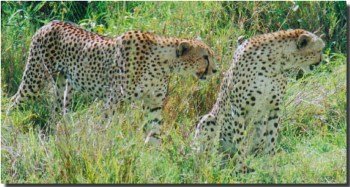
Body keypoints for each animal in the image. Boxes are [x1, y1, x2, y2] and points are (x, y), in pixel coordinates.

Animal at [8, 20, 217, 143]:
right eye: (205, 57)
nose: (215, 70)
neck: (163, 62)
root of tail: (49, 23)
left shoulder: (154, 103)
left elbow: (154, 130)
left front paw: (155, 157)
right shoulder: (115, 99)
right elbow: (105, 126)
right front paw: (102, 148)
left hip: (63, 85)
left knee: (58, 109)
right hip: (34, 78)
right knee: (13, 101)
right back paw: (9, 128)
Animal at [193, 29, 324, 174]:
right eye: (319, 50)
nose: (321, 60)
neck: (273, 64)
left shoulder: (275, 108)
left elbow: (271, 139)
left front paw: (270, 166)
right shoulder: (238, 109)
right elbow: (241, 140)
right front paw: (242, 168)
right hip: (209, 120)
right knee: (208, 155)